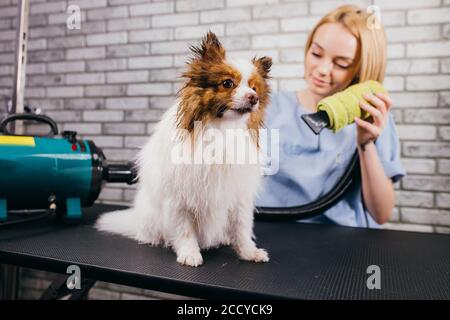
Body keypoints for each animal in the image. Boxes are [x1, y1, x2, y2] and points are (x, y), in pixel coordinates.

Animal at [95, 31, 270, 268]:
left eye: (253, 88)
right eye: (228, 83)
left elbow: (242, 228)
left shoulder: (238, 195)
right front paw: (189, 253)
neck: (221, 131)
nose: (254, 98)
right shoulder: (179, 197)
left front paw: (248, 252)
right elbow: (183, 229)